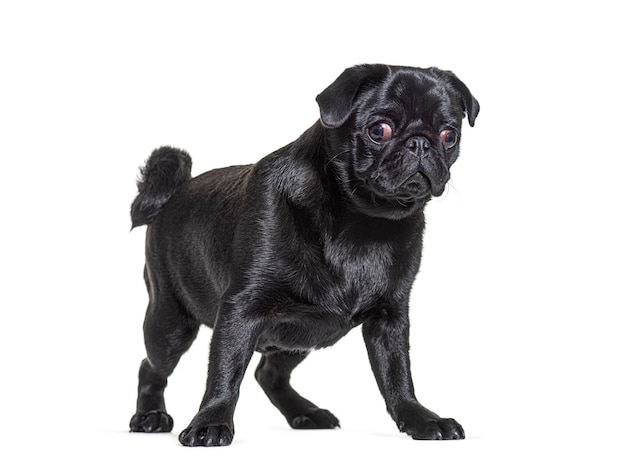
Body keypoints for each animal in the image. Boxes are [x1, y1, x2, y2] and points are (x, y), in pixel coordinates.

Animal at [128, 64, 478, 444]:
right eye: (379, 130)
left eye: (449, 135)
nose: (420, 142)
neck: (362, 221)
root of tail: (171, 195)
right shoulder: (240, 309)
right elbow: (224, 372)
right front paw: (210, 422)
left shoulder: (390, 318)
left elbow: (398, 376)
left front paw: (420, 419)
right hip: (171, 324)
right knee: (152, 366)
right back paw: (150, 416)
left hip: (306, 333)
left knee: (269, 373)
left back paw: (305, 413)